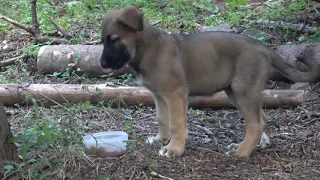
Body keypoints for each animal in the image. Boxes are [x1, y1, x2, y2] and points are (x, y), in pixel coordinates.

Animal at [99, 5, 318, 159]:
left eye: (114, 39)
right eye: (102, 41)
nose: (102, 64)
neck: (145, 48)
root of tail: (263, 48)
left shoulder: (176, 93)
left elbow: (177, 124)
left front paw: (173, 149)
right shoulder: (159, 95)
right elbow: (162, 118)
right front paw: (160, 139)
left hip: (243, 90)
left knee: (256, 123)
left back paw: (242, 152)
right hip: (236, 92)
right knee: (261, 118)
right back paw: (247, 146)